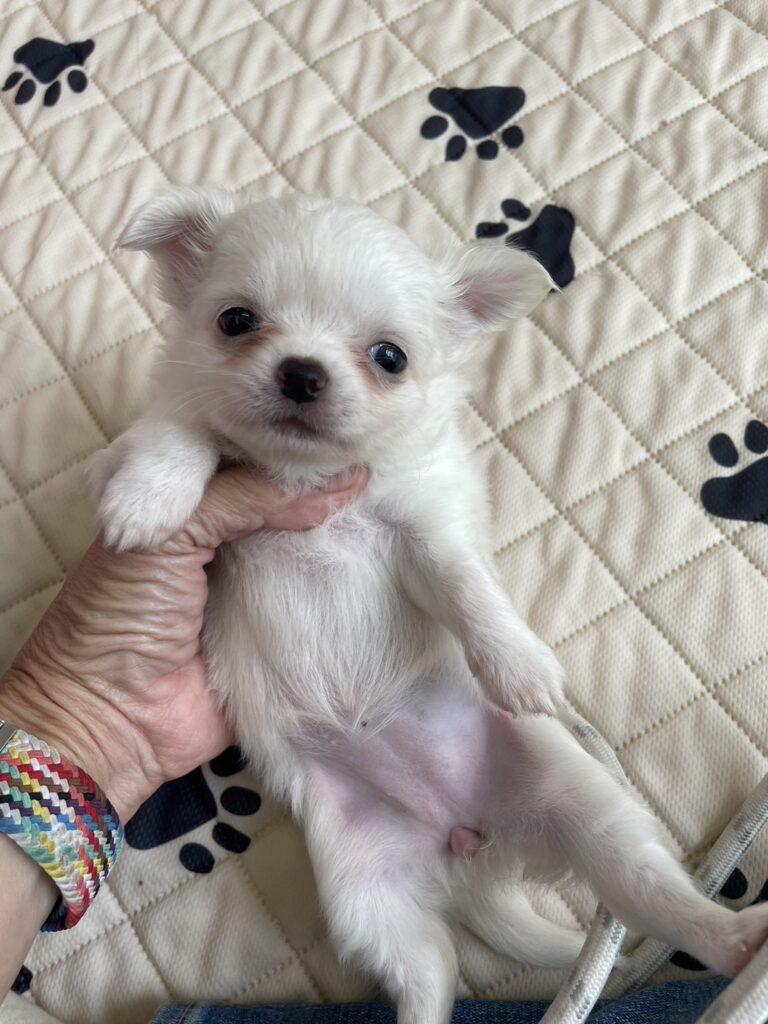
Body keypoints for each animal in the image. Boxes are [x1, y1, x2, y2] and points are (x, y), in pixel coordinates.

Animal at [93, 188, 768, 1023]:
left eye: (390, 357)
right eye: (236, 321)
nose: (302, 372)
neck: (301, 477)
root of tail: (465, 847)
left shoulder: (425, 533)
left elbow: (467, 588)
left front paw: (519, 669)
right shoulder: (158, 437)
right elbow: (181, 436)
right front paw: (148, 501)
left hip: (587, 809)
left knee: (651, 893)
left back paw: (734, 940)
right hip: (368, 897)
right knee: (426, 978)